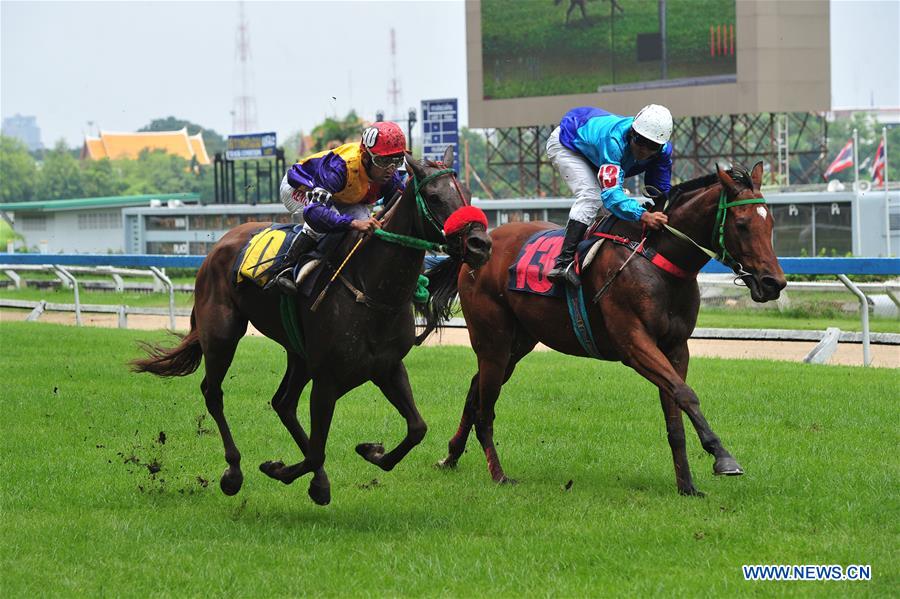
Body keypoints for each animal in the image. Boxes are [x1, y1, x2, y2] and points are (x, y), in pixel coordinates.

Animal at [131, 147, 492, 505]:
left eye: (468, 193)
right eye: (433, 196)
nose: (480, 244)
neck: (371, 288)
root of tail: (219, 245)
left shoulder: (386, 367)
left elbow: (417, 428)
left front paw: (370, 451)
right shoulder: (328, 378)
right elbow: (318, 450)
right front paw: (280, 469)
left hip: (298, 354)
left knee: (283, 403)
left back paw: (316, 478)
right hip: (222, 334)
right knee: (214, 392)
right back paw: (234, 472)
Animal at [425, 162, 786, 496]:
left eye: (770, 223)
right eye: (741, 224)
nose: (774, 283)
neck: (658, 260)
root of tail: (479, 245)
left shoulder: (675, 347)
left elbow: (675, 412)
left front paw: (687, 486)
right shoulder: (634, 344)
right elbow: (685, 394)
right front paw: (722, 457)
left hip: (517, 343)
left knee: (476, 390)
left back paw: (450, 457)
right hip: (493, 340)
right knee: (485, 406)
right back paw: (498, 474)